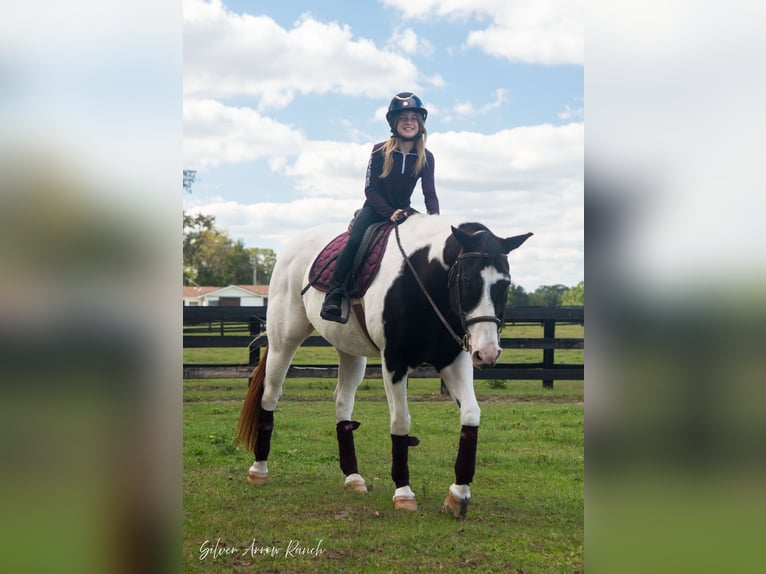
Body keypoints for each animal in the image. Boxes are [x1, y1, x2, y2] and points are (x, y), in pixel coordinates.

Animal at [237, 214, 532, 520]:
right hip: (284, 341)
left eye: (505, 284)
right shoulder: (394, 361)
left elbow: (471, 415)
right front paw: (403, 492)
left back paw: (353, 477)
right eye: (467, 279)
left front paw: (458, 494)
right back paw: (258, 469)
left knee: (342, 403)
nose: (488, 352)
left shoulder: (454, 361)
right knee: (270, 395)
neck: (423, 279)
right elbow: (400, 422)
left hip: (349, 350)